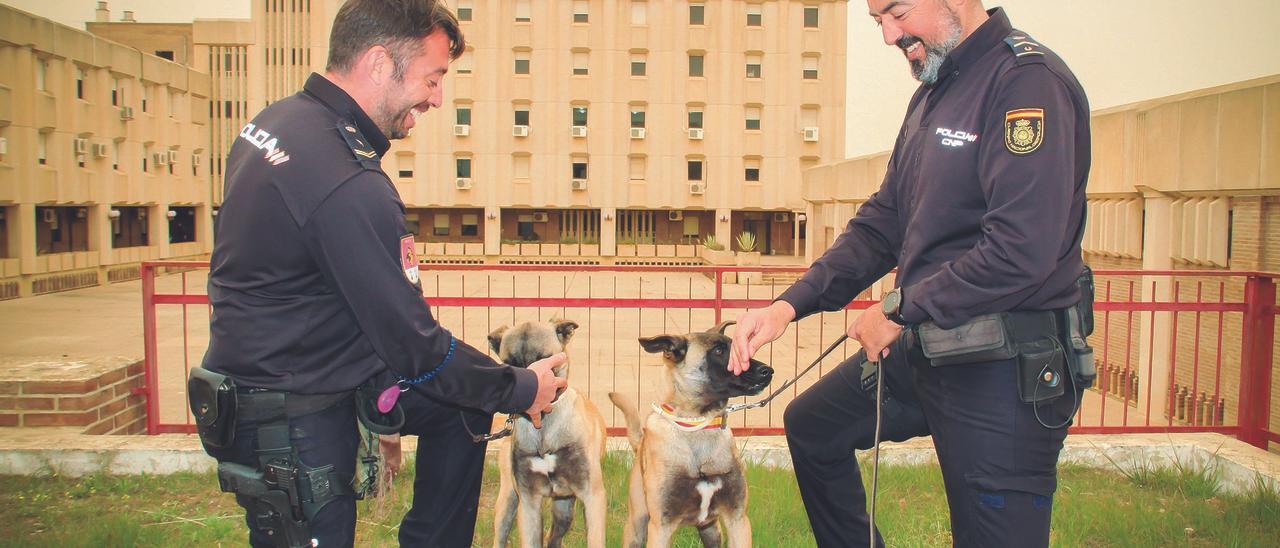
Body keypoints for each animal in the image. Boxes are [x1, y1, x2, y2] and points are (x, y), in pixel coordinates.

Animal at [488, 318, 609, 545]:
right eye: (511, 363)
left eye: (544, 359)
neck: (543, 429)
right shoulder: (529, 502)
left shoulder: (592, 496)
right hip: (508, 502)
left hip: (565, 510)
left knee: (553, 537)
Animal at [606, 321, 773, 548]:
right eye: (718, 351)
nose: (768, 371)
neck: (696, 426)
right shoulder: (661, 527)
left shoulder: (737, 520)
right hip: (637, 525)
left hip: (711, 530)